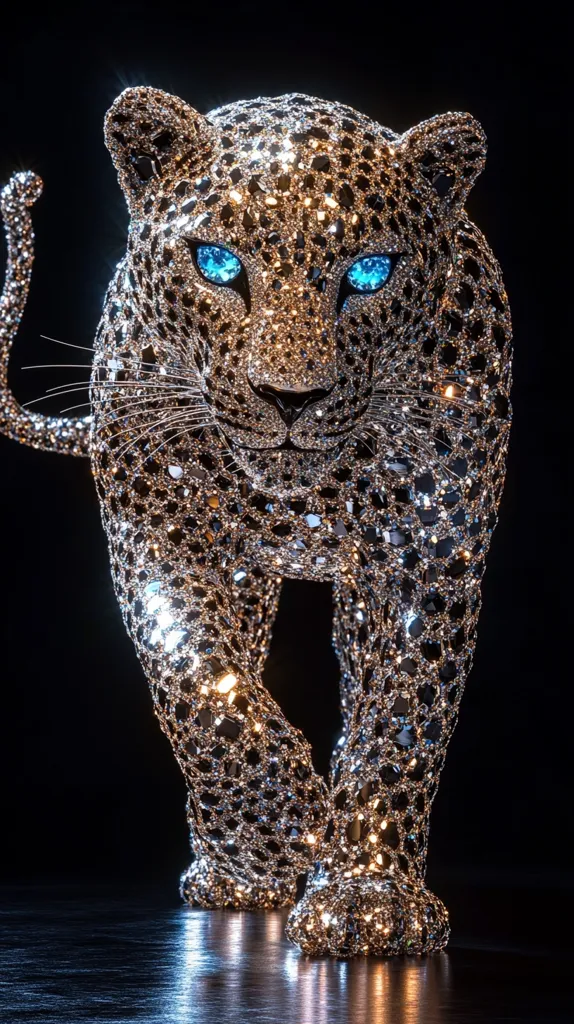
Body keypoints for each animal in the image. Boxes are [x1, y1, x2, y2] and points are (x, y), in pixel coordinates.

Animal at [0, 86, 512, 957]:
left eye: (370, 271)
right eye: (217, 263)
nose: (290, 397)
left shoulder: (427, 550)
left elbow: (401, 716)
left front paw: (367, 898)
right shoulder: (156, 529)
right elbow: (199, 684)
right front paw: (284, 828)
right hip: (238, 570)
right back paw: (237, 869)